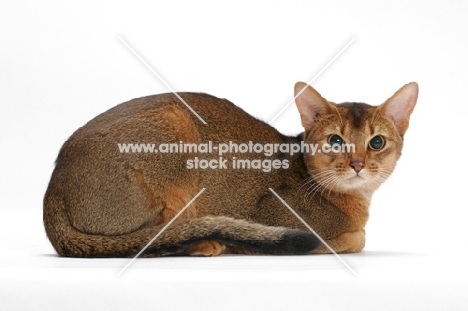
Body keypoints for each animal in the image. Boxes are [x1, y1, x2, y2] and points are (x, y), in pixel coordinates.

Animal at [43, 81, 416, 258]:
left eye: (377, 142)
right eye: (336, 141)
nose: (357, 164)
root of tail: (52, 193)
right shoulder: (272, 214)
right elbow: (356, 239)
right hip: (175, 125)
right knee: (158, 236)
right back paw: (205, 243)